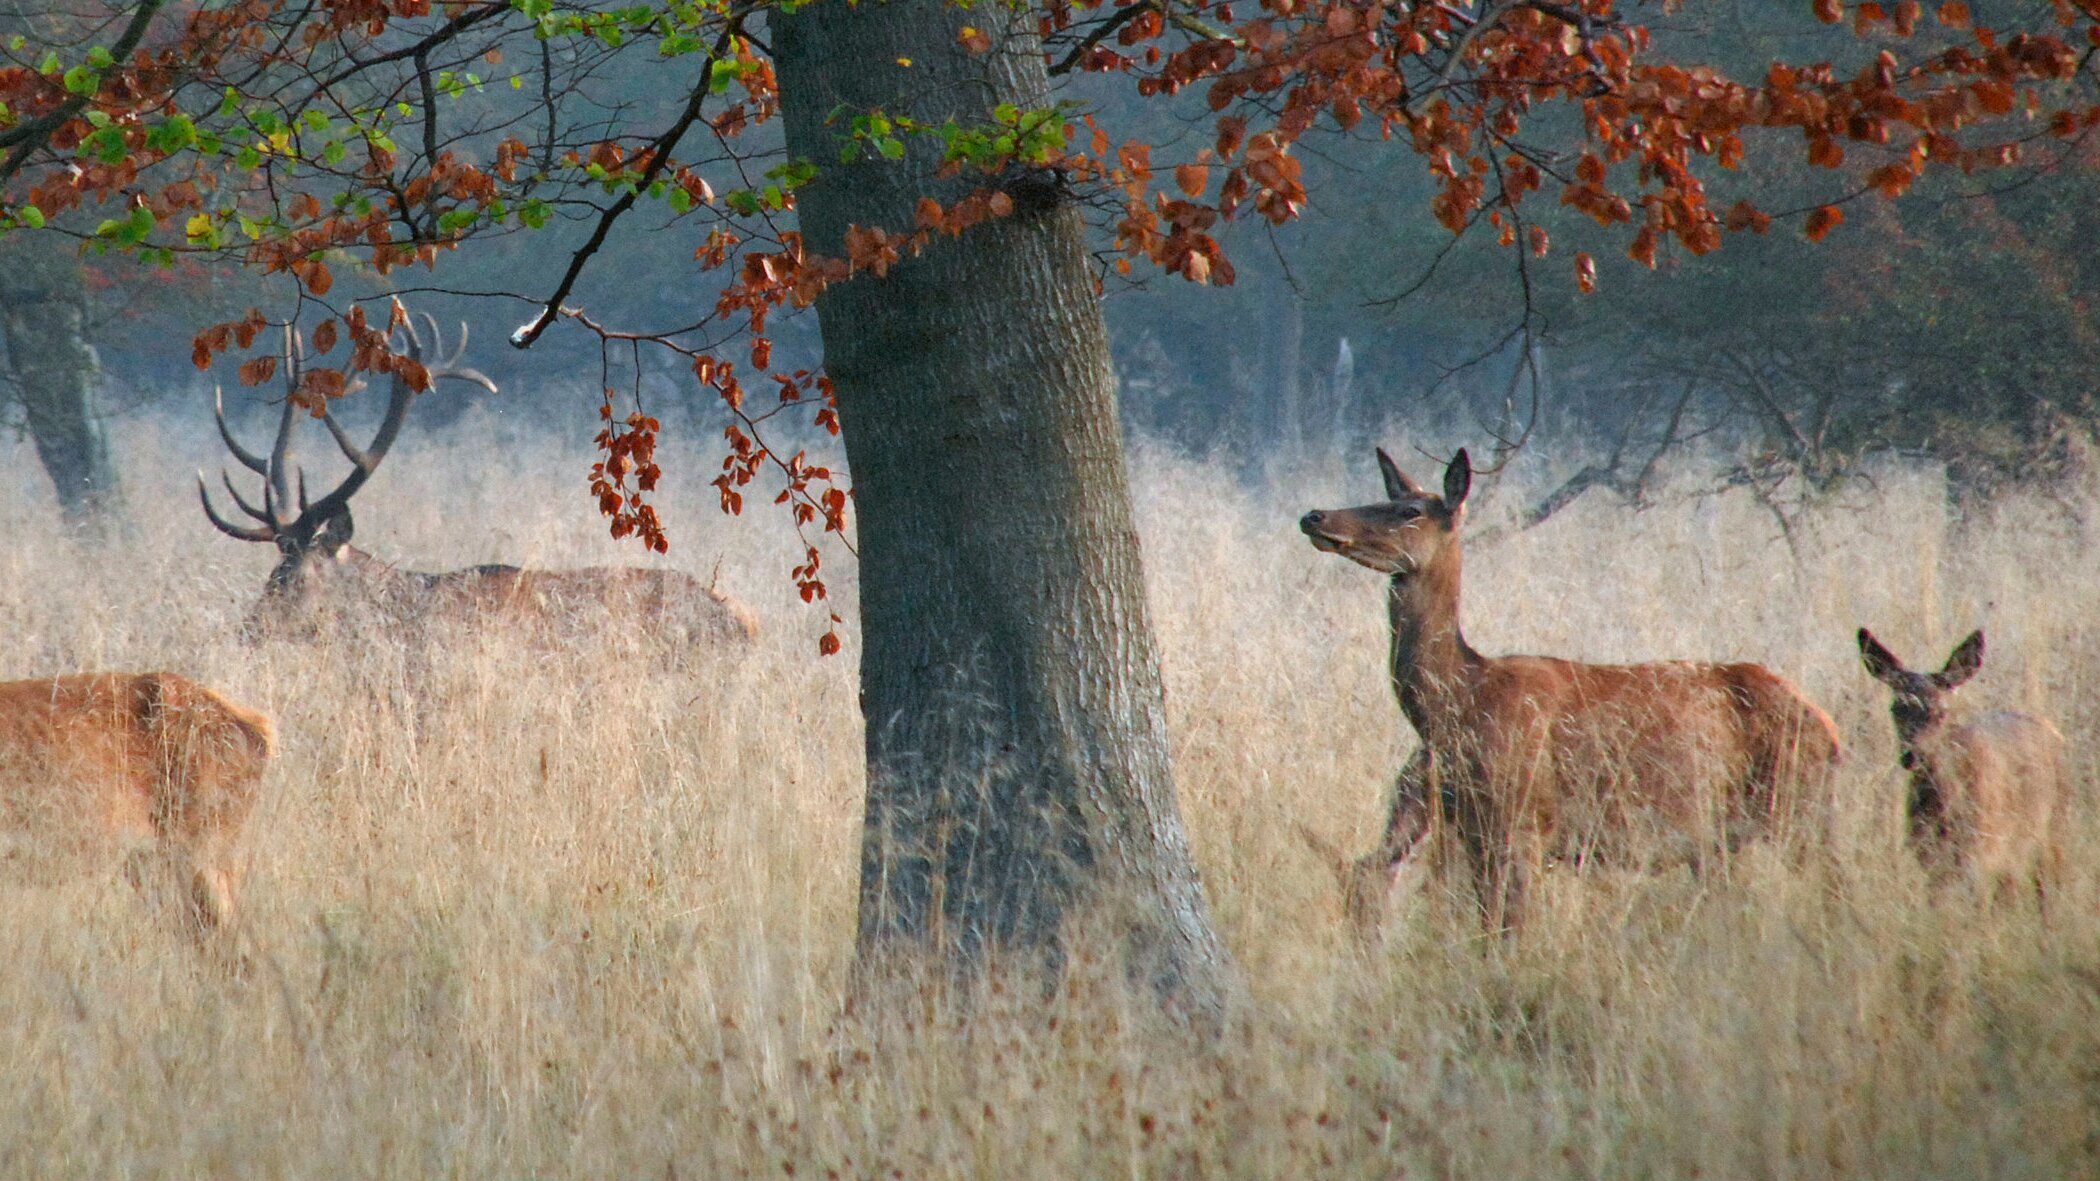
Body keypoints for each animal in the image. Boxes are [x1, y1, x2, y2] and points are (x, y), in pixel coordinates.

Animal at [1293, 443, 1839, 928]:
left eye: (1409, 510)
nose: (1315, 516)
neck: (1458, 705)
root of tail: (1830, 731)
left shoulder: (1522, 828)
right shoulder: (1472, 833)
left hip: (1798, 810)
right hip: (1724, 840)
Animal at [1856, 630, 2066, 895]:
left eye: (1942, 712)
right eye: (1895, 709)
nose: (1913, 755)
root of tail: (2052, 729)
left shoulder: (1983, 852)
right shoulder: (1926, 854)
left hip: (2053, 827)